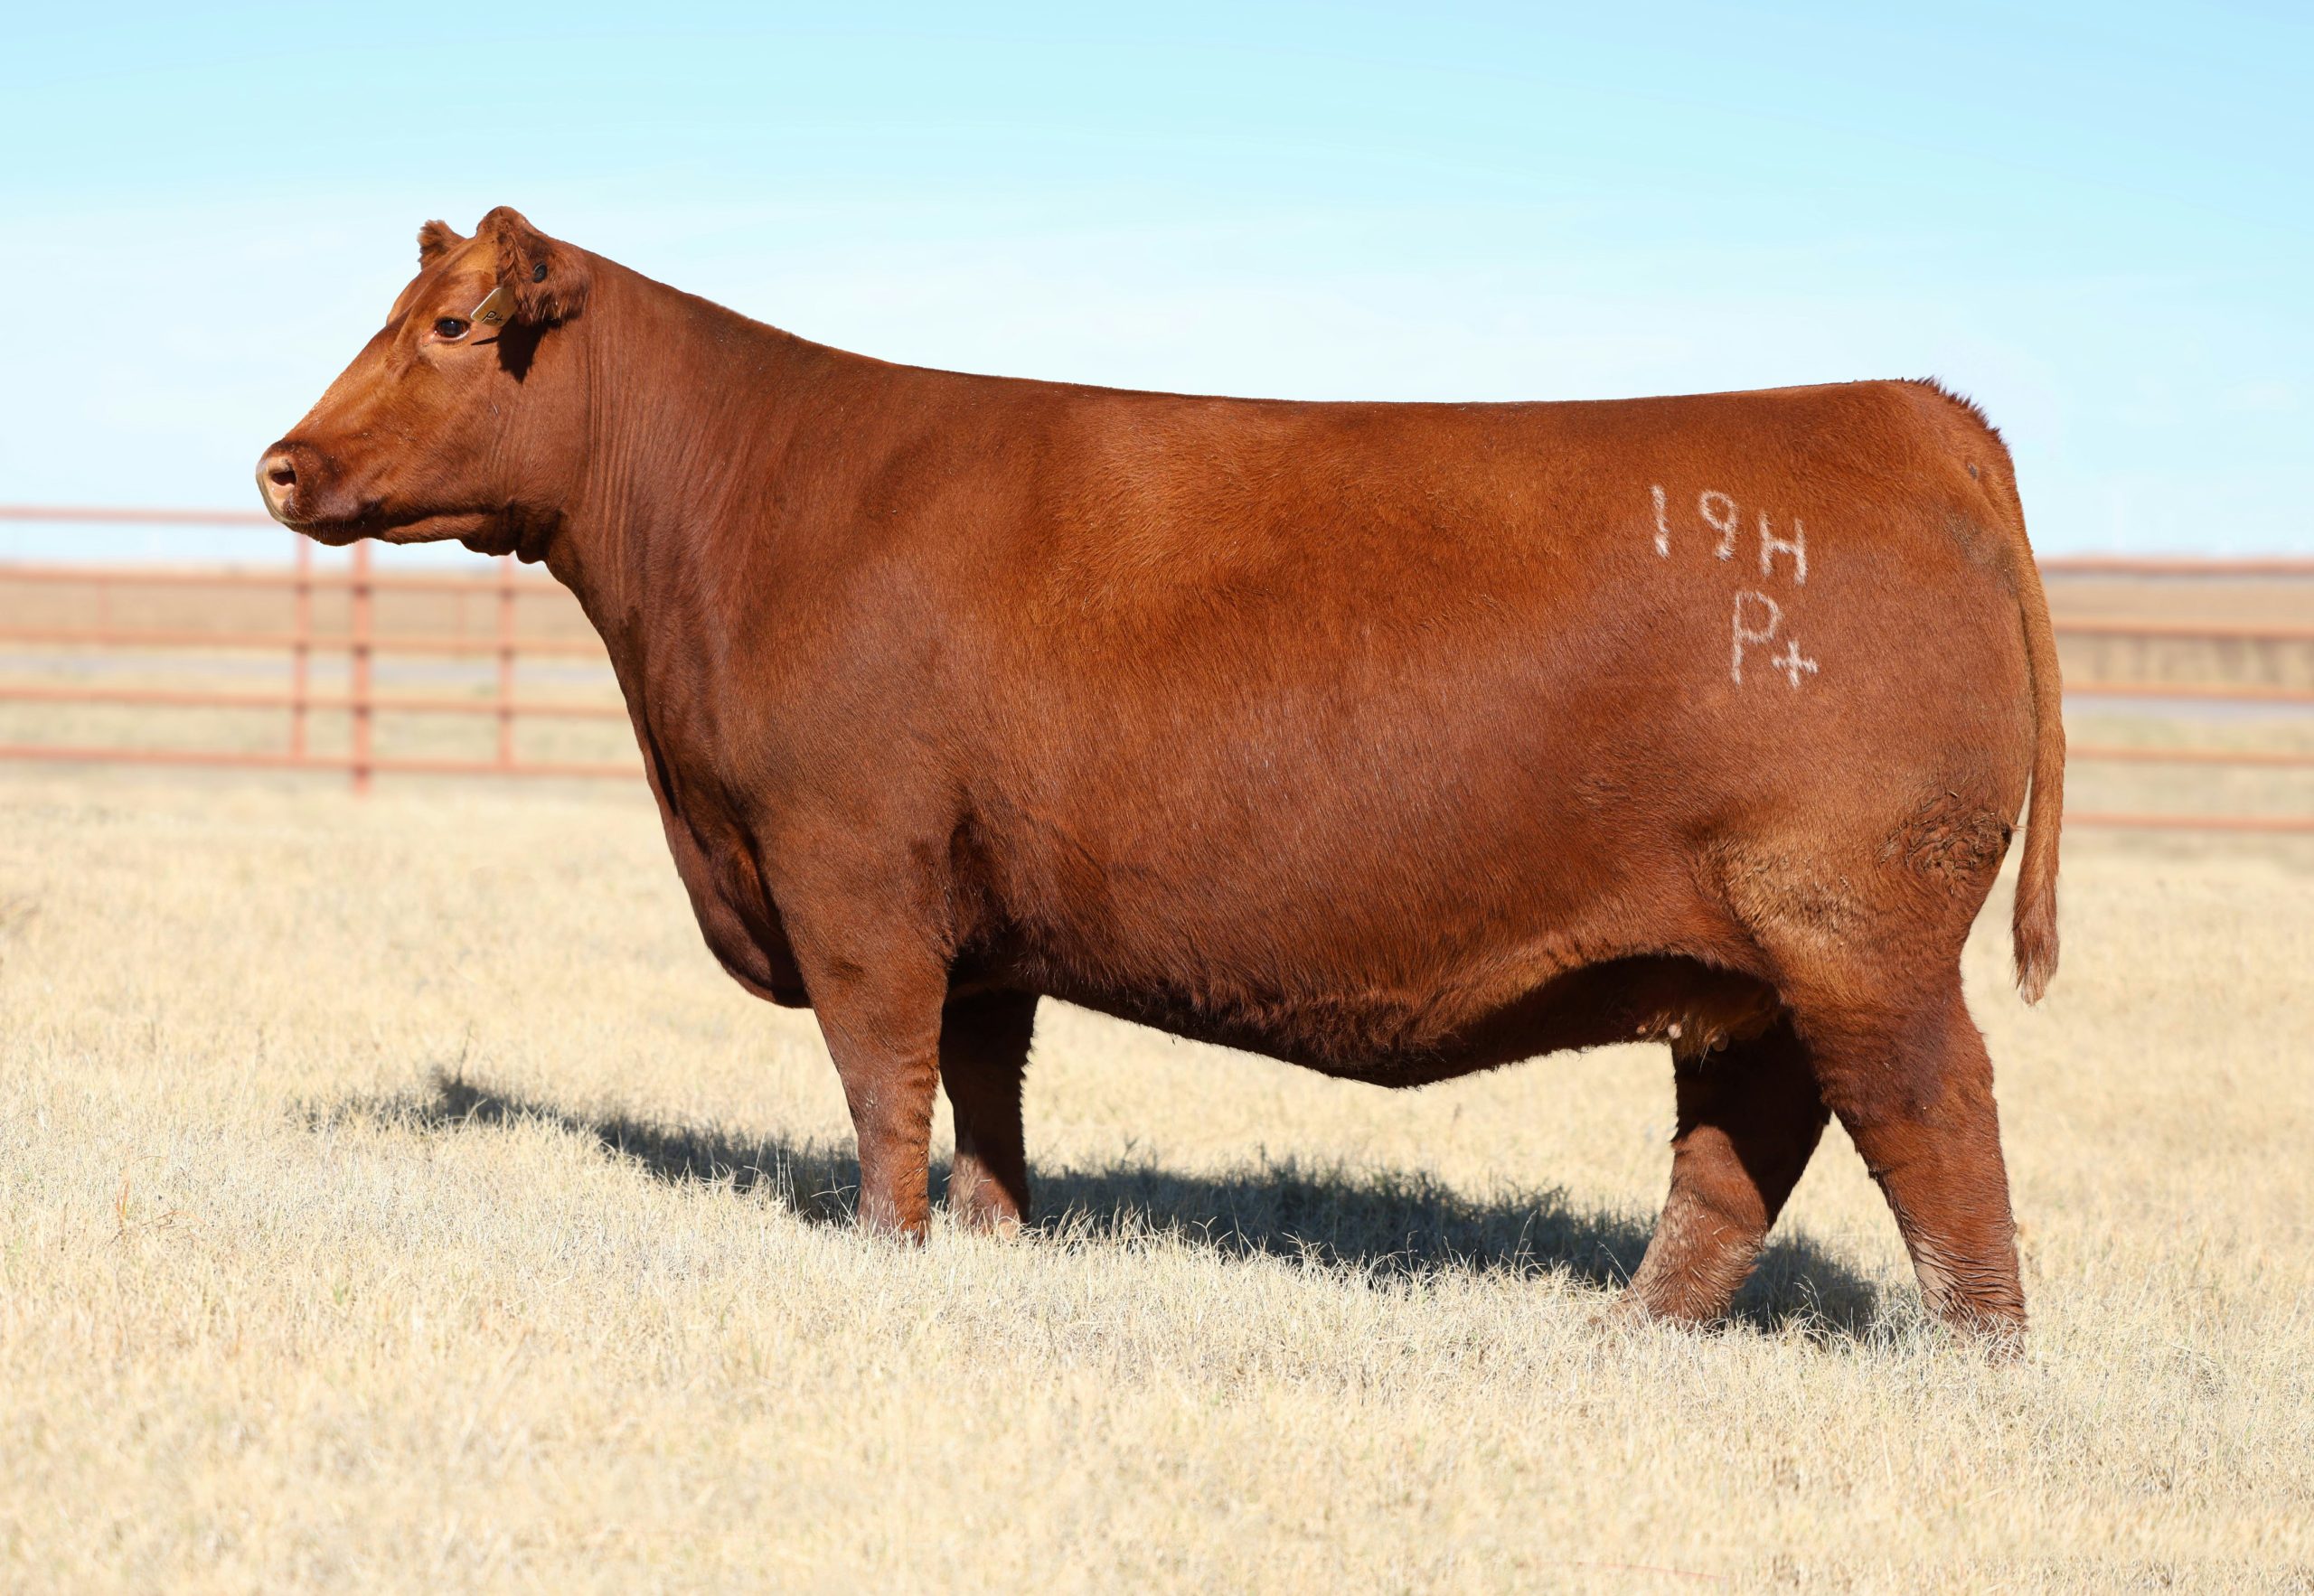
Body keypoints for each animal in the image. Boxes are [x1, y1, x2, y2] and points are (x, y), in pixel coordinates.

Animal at [259, 208, 2063, 1341]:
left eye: (449, 327)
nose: (281, 462)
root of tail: (1919, 413)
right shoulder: (980, 912)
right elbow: (982, 1085)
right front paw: (991, 1242)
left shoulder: (849, 867)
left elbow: (880, 1079)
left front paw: (884, 1252)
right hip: (1750, 965)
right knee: (1738, 1153)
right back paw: (1630, 1337)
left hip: (1857, 930)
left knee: (1937, 1122)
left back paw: (1977, 1366)